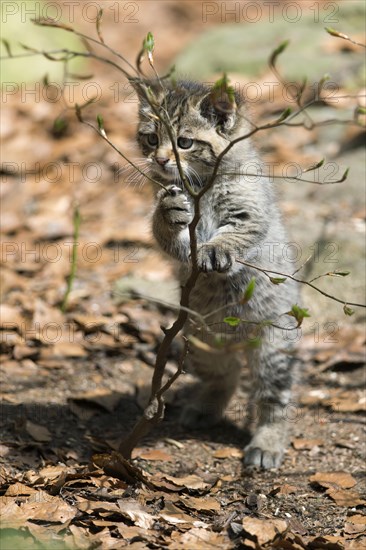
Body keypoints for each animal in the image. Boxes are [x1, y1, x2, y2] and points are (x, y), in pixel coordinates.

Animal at [134, 78, 298, 470]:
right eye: (151, 138)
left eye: (184, 143)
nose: (159, 160)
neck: (201, 185)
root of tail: (238, 334)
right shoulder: (181, 240)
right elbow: (168, 234)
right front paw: (167, 210)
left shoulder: (249, 211)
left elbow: (234, 236)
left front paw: (216, 249)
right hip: (200, 342)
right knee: (227, 374)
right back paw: (206, 407)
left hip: (272, 345)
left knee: (273, 398)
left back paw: (267, 443)